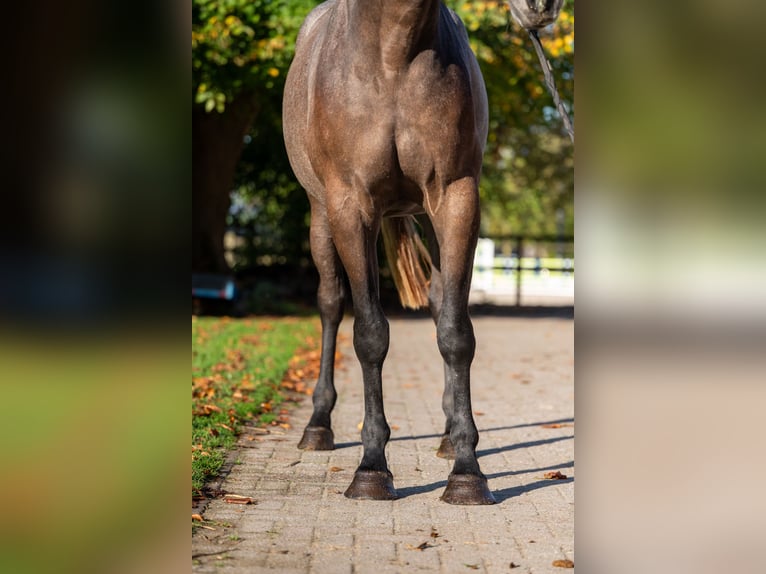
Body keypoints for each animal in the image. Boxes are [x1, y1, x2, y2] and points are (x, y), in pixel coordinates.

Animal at [283, 0, 494, 505]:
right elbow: (370, 335)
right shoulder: (350, 204)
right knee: (331, 303)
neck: (393, 56)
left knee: (438, 301)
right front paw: (372, 468)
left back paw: (447, 433)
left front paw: (467, 471)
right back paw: (318, 426)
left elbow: (456, 333)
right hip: (321, 214)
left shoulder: (456, 198)